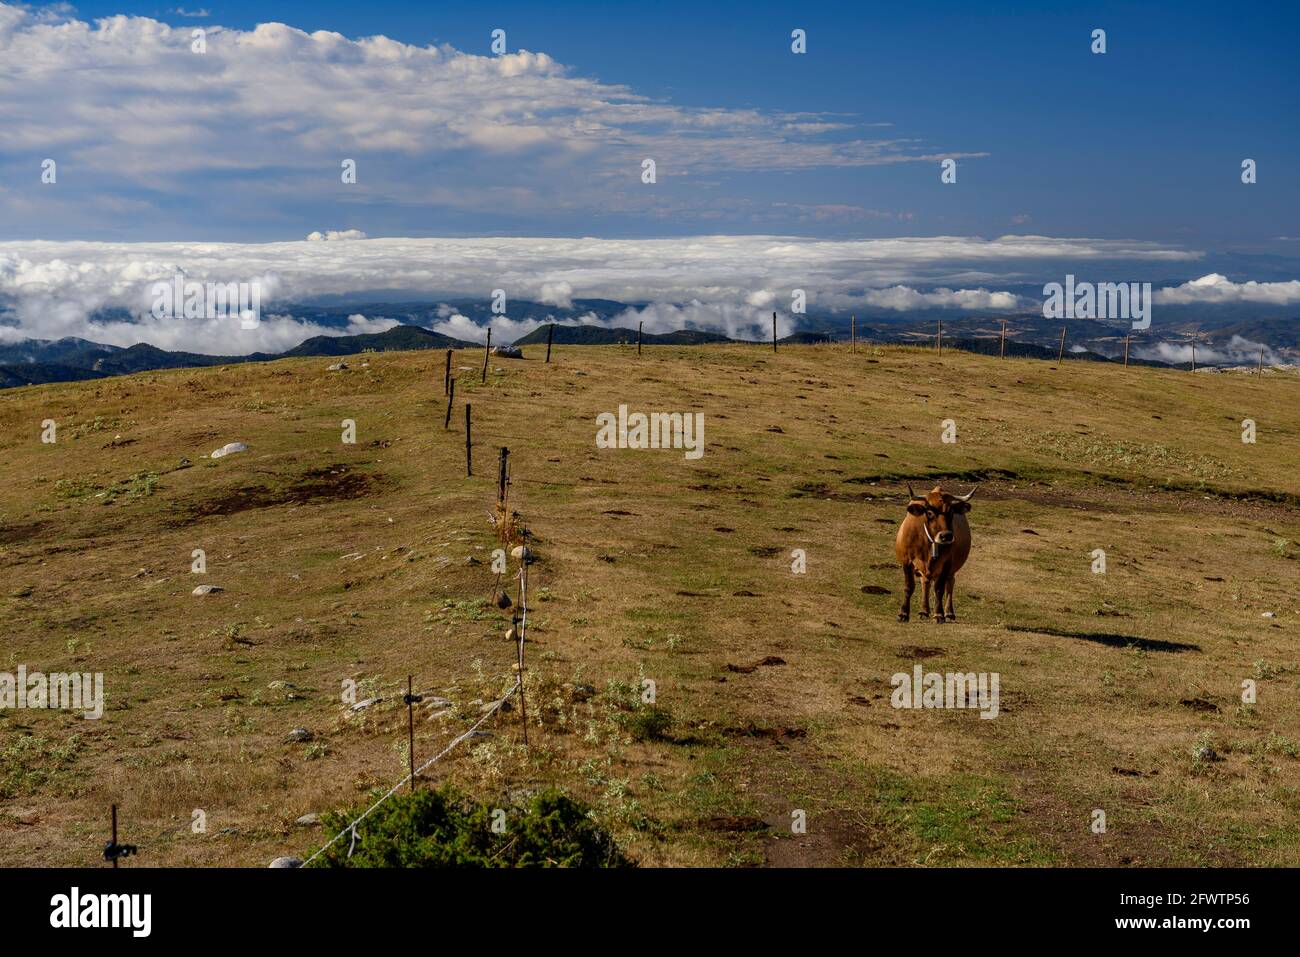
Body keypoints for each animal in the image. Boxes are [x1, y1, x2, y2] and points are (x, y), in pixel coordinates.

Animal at [894, 481, 977, 624]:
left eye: (951, 512)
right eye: (930, 512)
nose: (946, 536)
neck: (929, 543)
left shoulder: (946, 564)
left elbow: (939, 589)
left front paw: (939, 614)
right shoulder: (906, 561)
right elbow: (909, 586)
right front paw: (903, 613)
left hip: (952, 569)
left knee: (950, 584)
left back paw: (949, 613)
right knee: (925, 582)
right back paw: (924, 611)